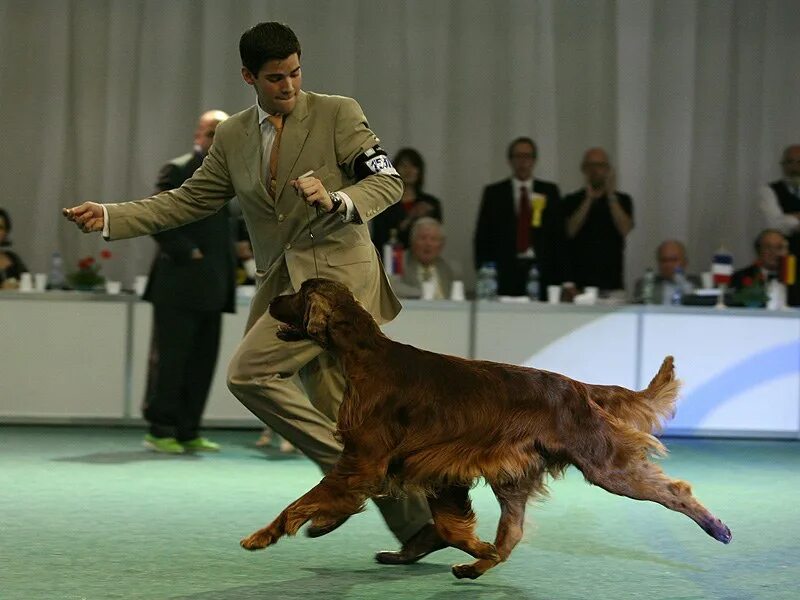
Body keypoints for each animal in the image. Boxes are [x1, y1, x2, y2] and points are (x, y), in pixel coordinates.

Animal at [239, 278, 732, 580]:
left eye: (299, 292)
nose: (270, 299)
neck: (366, 356)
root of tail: (576, 387)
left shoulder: (364, 463)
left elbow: (303, 501)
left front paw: (262, 535)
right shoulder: (433, 468)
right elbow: (453, 526)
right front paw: (472, 550)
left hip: (604, 464)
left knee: (675, 491)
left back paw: (718, 528)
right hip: (514, 476)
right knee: (511, 534)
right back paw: (474, 567)